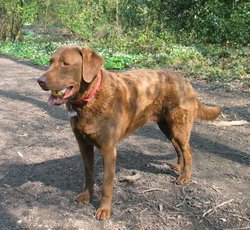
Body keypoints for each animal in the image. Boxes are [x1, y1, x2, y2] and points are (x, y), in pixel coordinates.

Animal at [37, 45, 221, 220]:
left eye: (65, 64)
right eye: (50, 62)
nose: (39, 80)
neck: (89, 99)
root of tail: (187, 82)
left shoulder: (109, 149)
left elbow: (107, 184)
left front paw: (104, 210)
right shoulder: (84, 145)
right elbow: (89, 173)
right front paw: (86, 196)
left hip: (178, 126)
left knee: (188, 150)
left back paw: (185, 176)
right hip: (166, 126)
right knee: (178, 147)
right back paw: (179, 166)